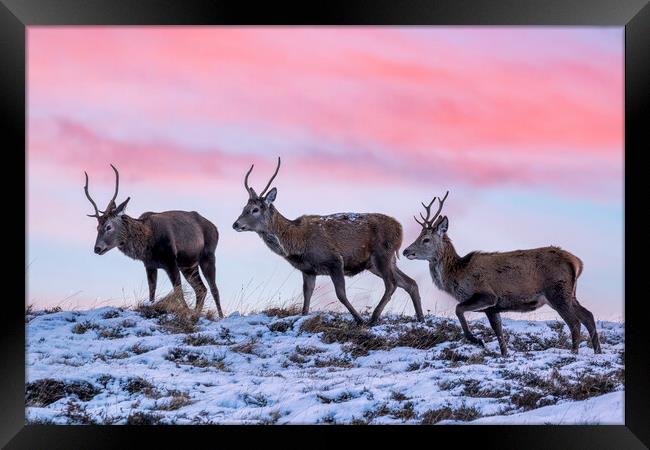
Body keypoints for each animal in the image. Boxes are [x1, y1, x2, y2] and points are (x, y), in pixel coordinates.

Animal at [85, 163, 221, 314]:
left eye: (108, 226)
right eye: (97, 227)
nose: (97, 248)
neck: (148, 244)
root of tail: (215, 229)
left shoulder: (170, 260)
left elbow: (178, 292)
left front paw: (185, 312)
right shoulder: (149, 265)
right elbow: (152, 294)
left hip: (208, 255)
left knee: (214, 289)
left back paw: (220, 315)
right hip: (189, 265)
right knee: (201, 289)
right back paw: (197, 313)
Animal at [230, 157, 422, 324]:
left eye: (255, 209)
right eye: (244, 208)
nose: (235, 224)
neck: (297, 243)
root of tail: (400, 228)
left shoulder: (334, 260)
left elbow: (341, 295)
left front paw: (359, 319)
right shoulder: (308, 270)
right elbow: (306, 298)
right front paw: (303, 316)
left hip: (382, 253)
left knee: (392, 284)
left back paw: (373, 318)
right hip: (379, 262)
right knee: (409, 283)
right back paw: (420, 318)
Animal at [402, 192, 600, 356]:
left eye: (426, 239)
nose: (406, 251)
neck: (458, 274)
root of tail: (577, 262)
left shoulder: (487, 295)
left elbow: (458, 309)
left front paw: (476, 340)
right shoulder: (493, 308)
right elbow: (499, 332)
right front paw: (504, 354)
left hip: (556, 290)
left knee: (575, 322)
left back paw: (574, 352)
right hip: (569, 293)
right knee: (588, 316)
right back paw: (597, 351)